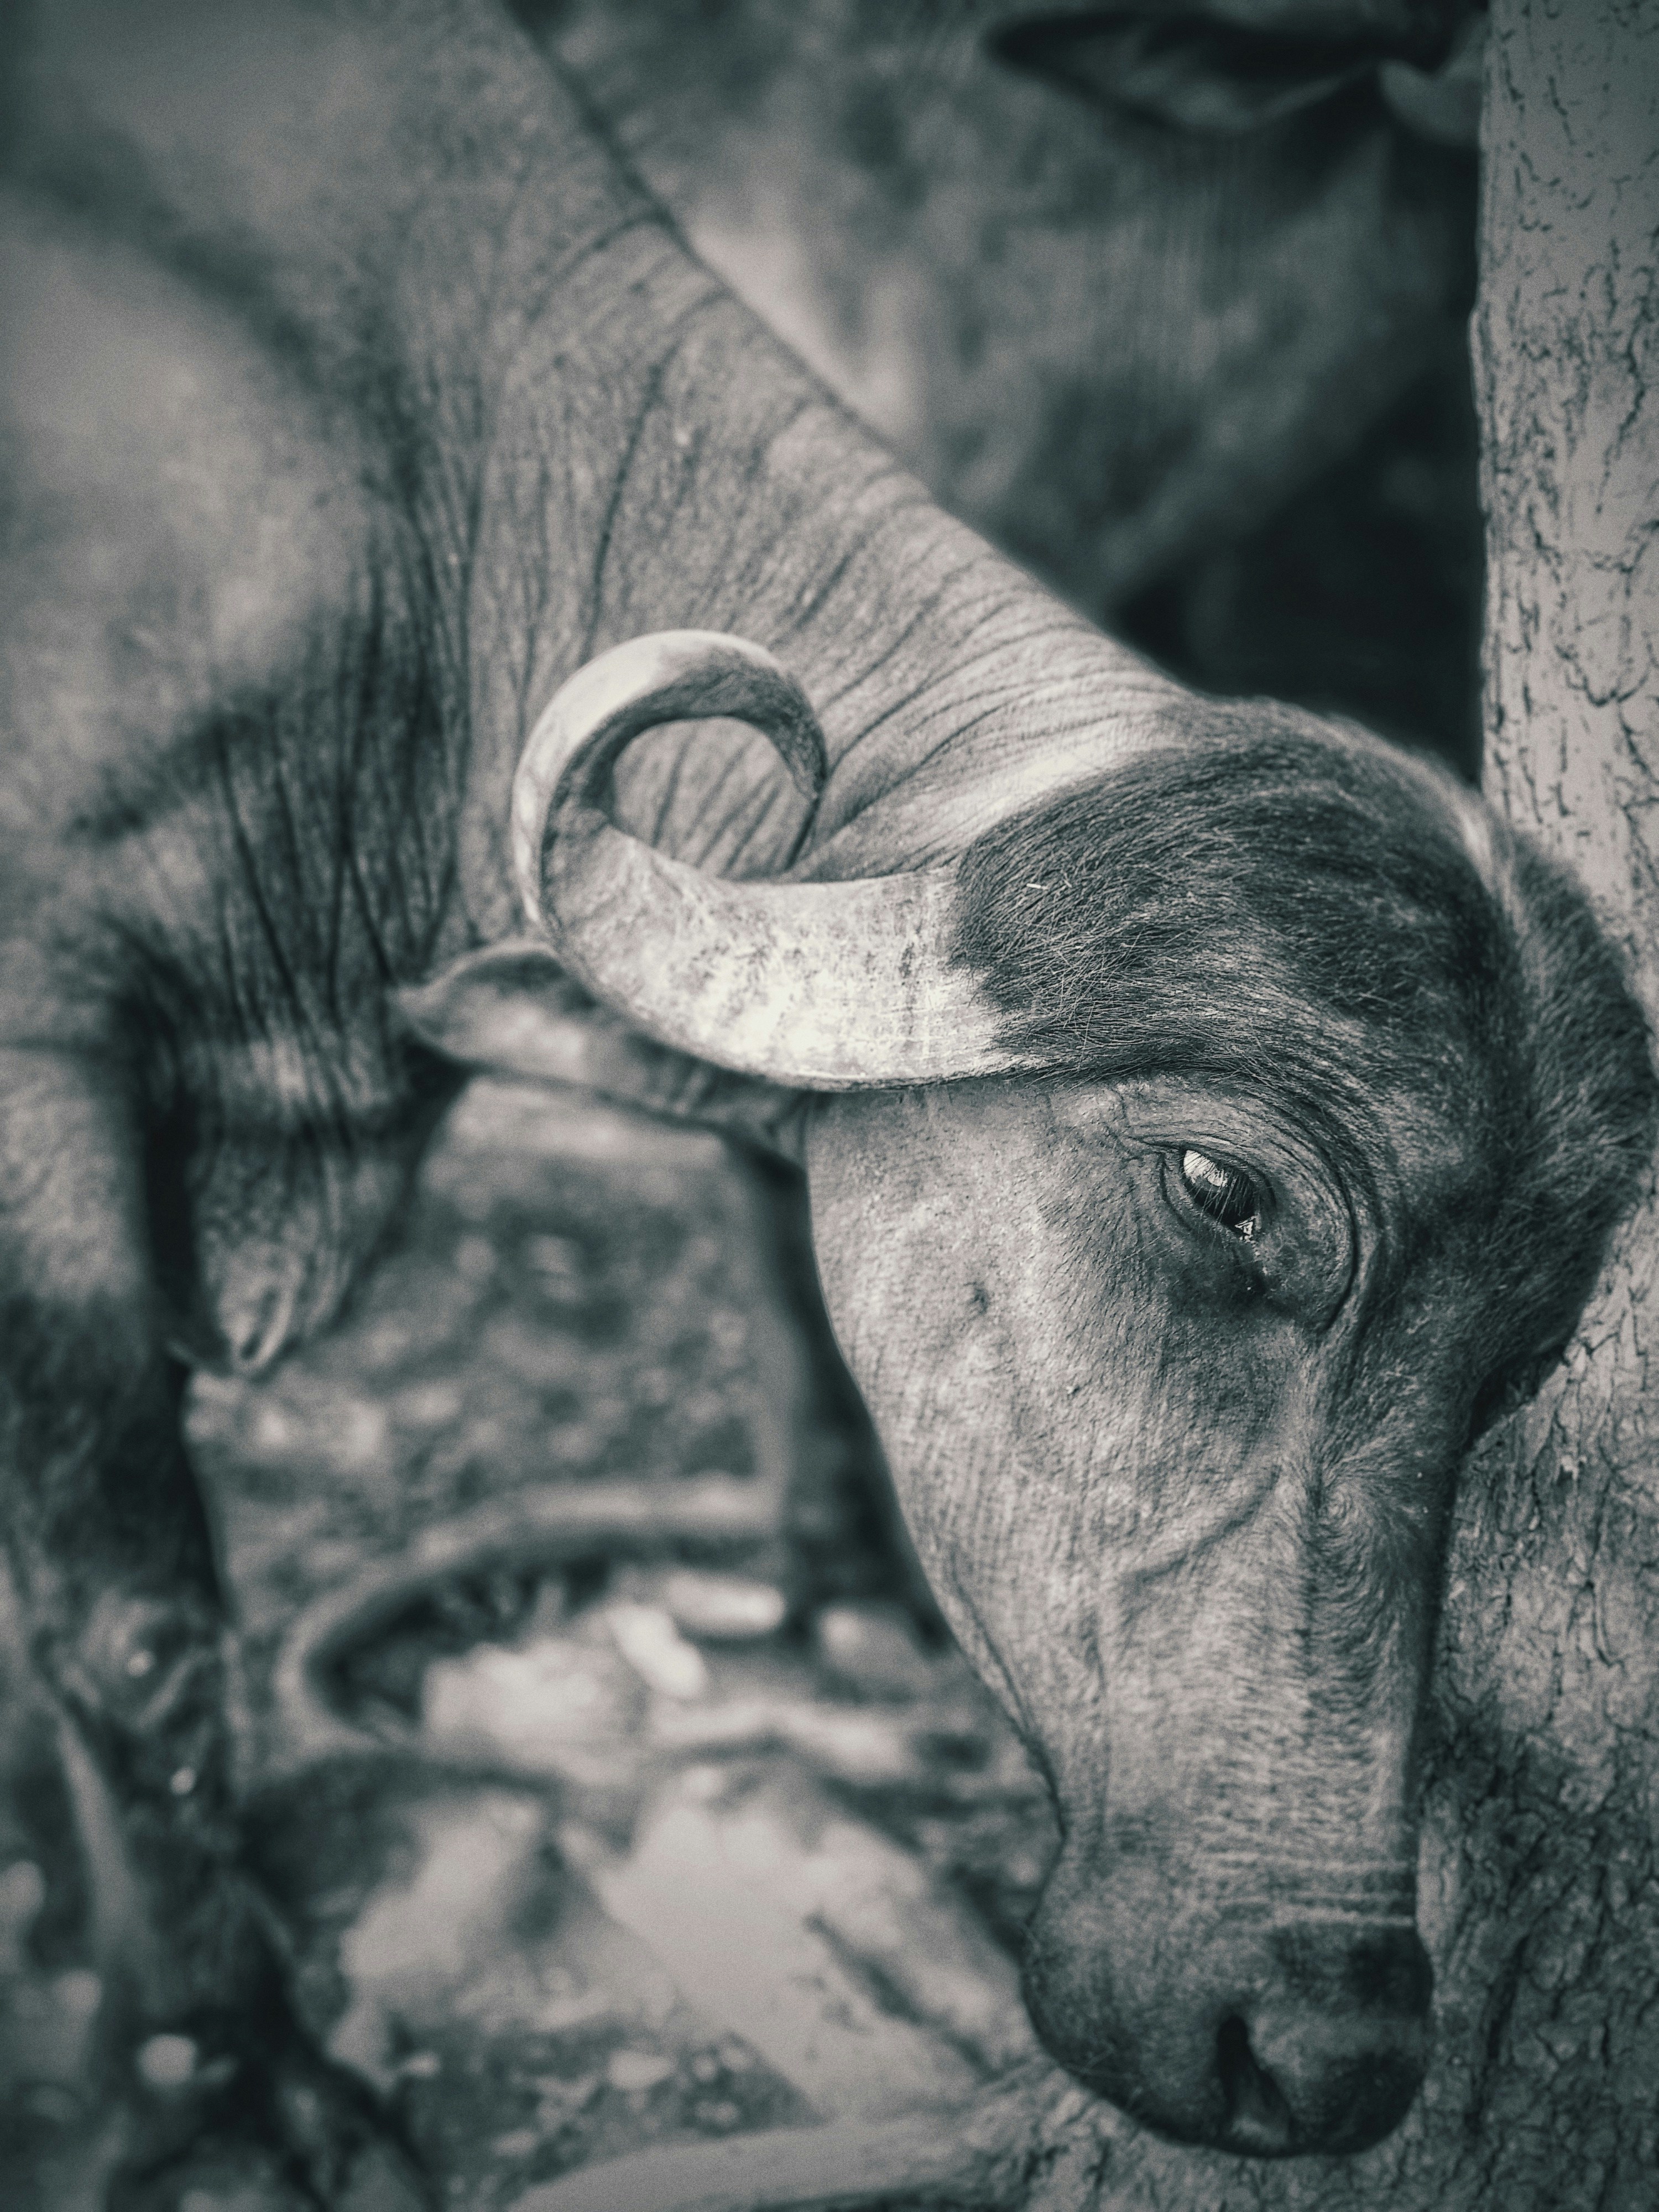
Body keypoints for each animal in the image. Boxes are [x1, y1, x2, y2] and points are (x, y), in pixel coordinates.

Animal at [0, 0, 1652, 2200]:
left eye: (1522, 1351)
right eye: (1221, 1190)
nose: (1311, 2042)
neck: (403, 508)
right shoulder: (39, 1054)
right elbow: (140, 1628)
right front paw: (217, 2075)